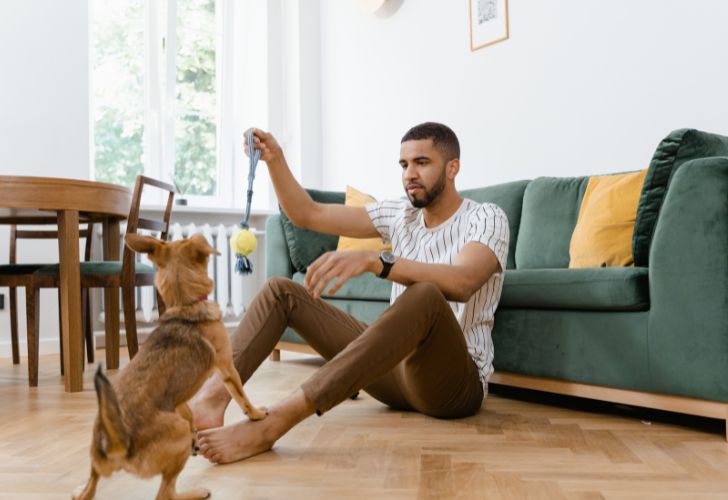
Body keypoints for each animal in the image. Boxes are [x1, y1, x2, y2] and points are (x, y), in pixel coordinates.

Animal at [72, 234, 266, 500]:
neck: (185, 304)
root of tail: (118, 443)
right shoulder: (227, 367)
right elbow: (241, 396)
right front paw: (256, 414)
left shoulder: (180, 397)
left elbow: (190, 412)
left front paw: (197, 431)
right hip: (177, 435)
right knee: (165, 494)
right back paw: (195, 492)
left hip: (95, 468)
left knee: (87, 491)